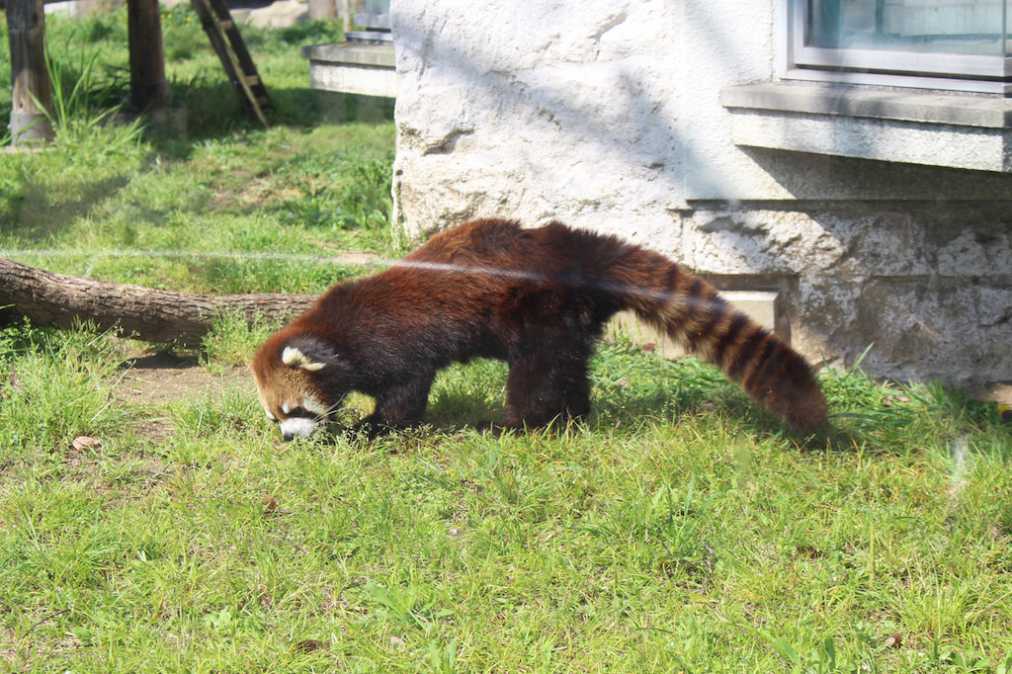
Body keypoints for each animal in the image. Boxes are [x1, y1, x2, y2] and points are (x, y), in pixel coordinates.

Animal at [248, 217, 825, 441]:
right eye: (277, 414)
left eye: (295, 410)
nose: (287, 438)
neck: (337, 331)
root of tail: (576, 250)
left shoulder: (396, 345)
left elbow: (406, 394)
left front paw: (371, 429)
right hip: (569, 320)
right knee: (569, 367)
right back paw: (575, 416)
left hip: (540, 313)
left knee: (536, 374)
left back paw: (514, 424)